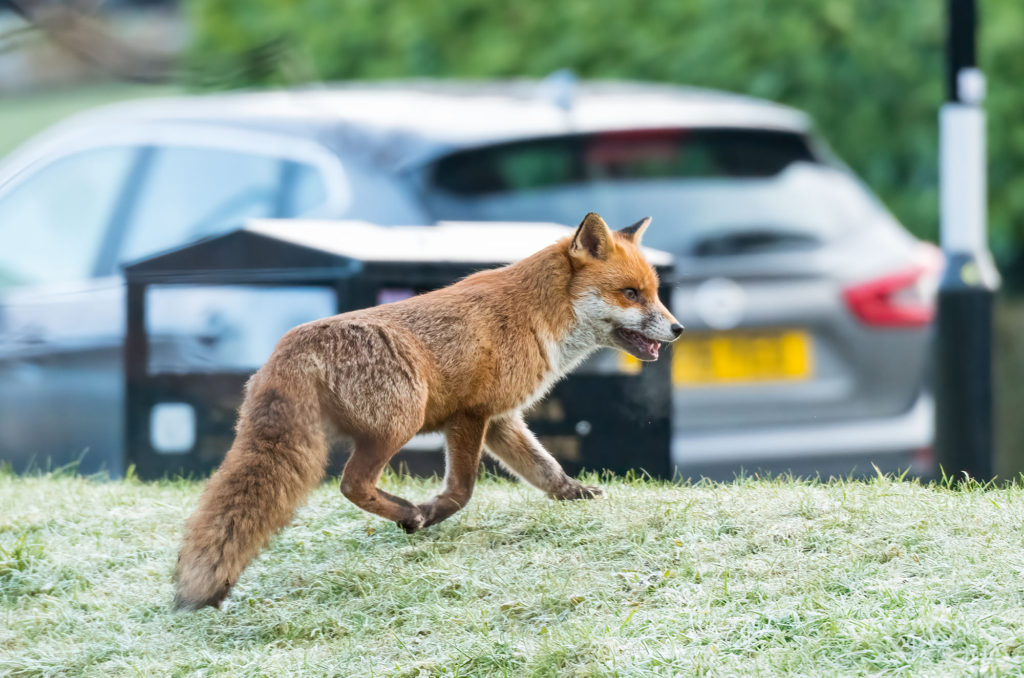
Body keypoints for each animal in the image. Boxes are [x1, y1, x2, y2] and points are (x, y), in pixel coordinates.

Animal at [175, 213, 684, 610]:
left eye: (655, 293)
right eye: (631, 293)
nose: (679, 329)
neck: (536, 316)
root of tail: (288, 347)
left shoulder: (501, 420)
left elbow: (545, 468)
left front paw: (573, 493)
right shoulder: (470, 415)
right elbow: (462, 490)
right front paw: (433, 512)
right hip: (401, 420)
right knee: (351, 484)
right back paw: (408, 514)